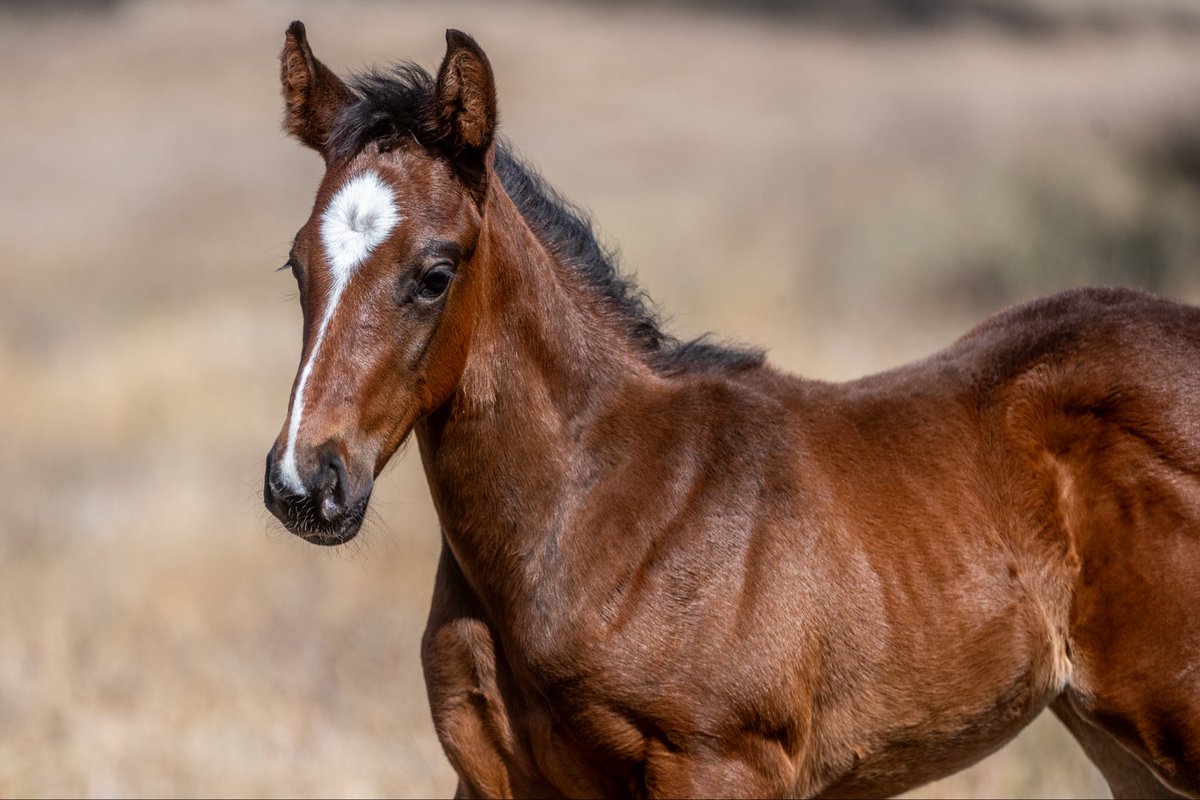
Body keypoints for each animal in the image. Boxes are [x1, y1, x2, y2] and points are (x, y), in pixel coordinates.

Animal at [262, 21, 1200, 799]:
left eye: (436, 272)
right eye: (297, 264)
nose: (305, 484)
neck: (597, 513)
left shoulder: (720, 764)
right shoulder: (489, 774)